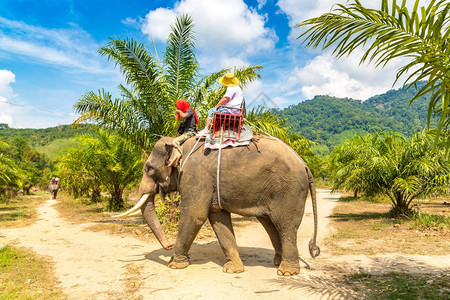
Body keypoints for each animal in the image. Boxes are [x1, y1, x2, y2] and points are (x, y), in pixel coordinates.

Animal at [116, 134, 320, 276]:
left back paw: (286, 272)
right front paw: (232, 269)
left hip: (289, 190)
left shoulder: (195, 176)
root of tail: (305, 165)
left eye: (149, 168)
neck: (179, 143)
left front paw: (176, 264)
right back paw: (278, 262)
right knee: (270, 223)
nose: (168, 246)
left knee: (286, 225)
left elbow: (195, 215)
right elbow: (218, 218)